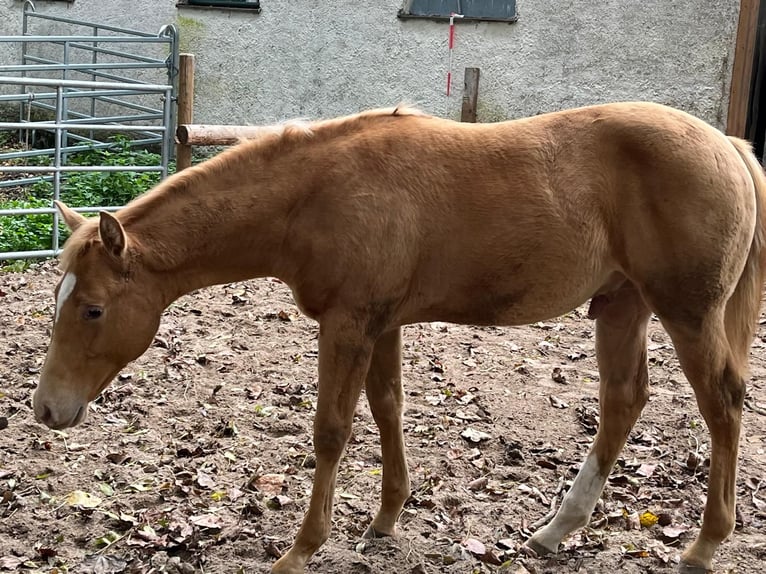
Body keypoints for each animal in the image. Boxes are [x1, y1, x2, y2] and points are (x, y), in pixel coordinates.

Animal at [33, 102, 765, 574]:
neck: (317, 195)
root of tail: (729, 146)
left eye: (92, 309)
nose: (46, 409)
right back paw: (555, 531)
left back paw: (704, 546)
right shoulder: (381, 324)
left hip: (687, 312)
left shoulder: (349, 323)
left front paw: (300, 549)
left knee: (722, 404)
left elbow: (331, 431)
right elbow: (388, 409)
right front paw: (386, 518)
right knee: (623, 401)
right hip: (620, 304)